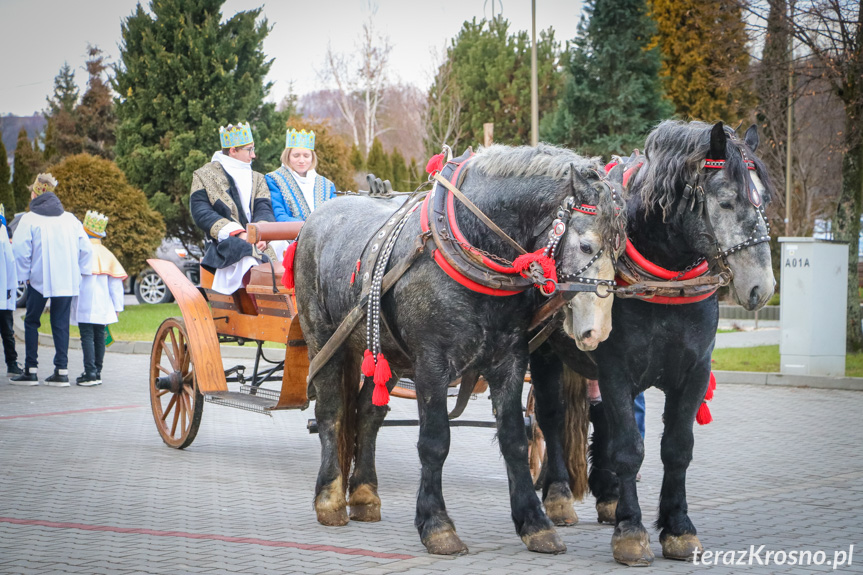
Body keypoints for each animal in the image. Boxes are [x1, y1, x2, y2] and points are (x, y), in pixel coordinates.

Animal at [294, 145, 624, 560]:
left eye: (622, 252)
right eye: (586, 246)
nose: (599, 331)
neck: (471, 245)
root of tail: (317, 216)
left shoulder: (509, 360)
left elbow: (515, 439)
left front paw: (535, 524)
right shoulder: (431, 364)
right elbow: (434, 442)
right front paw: (437, 526)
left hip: (382, 352)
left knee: (368, 415)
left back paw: (365, 495)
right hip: (324, 339)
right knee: (332, 414)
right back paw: (331, 499)